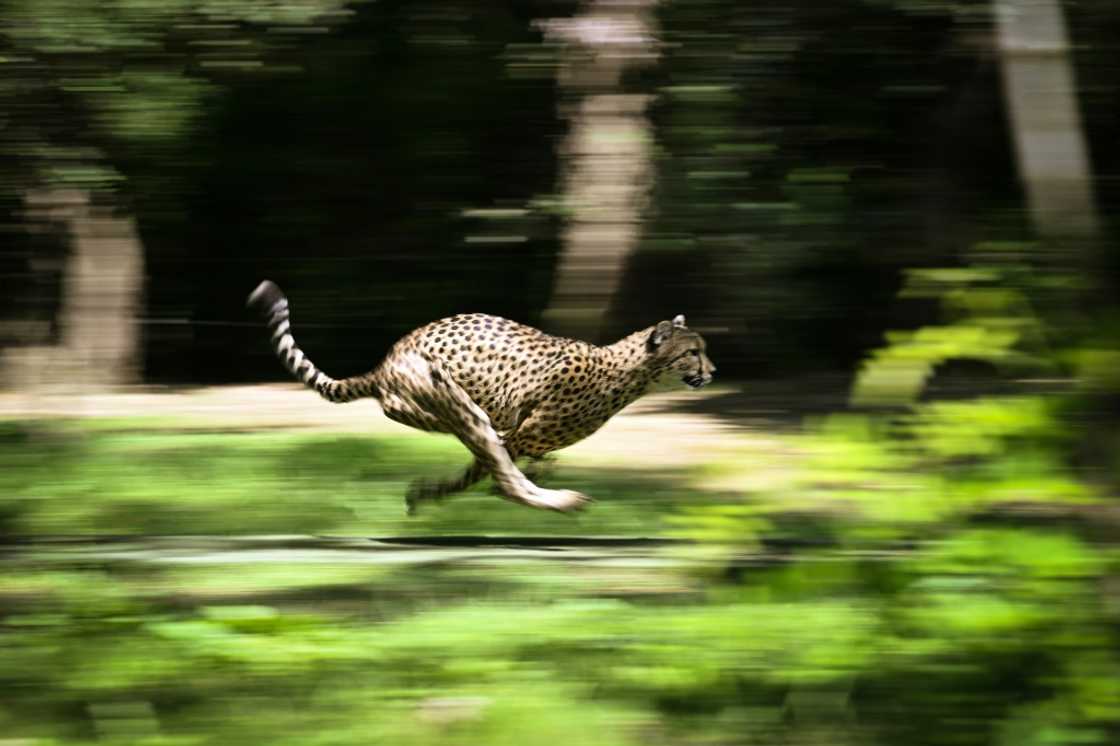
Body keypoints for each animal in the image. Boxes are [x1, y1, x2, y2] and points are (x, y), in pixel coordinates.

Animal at [247, 280, 715, 513]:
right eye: (692, 352)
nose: (713, 372)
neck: (627, 374)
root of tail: (386, 362)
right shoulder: (516, 435)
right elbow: (493, 472)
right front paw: (439, 492)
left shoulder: (514, 437)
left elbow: (484, 470)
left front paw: (428, 493)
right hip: (457, 402)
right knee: (505, 477)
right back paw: (560, 502)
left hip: (457, 414)